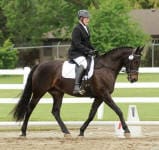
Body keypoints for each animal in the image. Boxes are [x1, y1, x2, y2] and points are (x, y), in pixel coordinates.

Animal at [12, 46, 144, 137]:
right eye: (135, 61)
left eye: (139, 62)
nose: (133, 79)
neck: (106, 68)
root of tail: (39, 65)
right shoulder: (104, 94)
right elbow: (118, 110)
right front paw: (127, 130)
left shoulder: (99, 97)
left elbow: (91, 115)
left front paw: (81, 131)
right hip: (39, 92)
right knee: (30, 109)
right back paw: (23, 132)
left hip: (57, 93)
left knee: (55, 111)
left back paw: (66, 132)